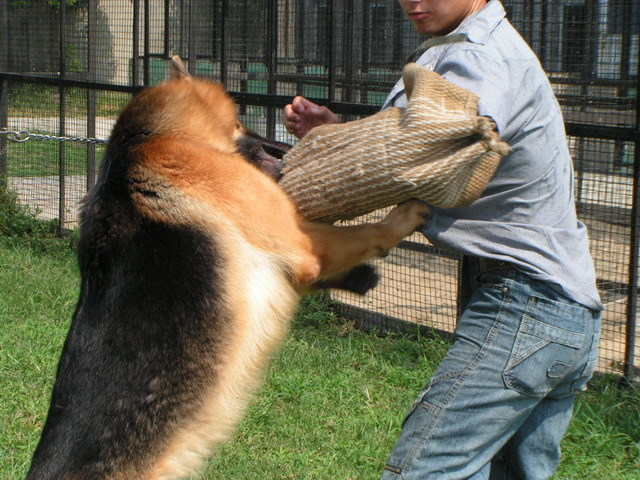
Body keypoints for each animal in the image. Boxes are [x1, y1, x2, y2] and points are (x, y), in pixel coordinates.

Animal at [25, 58, 428, 478]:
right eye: (240, 122)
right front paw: (405, 215)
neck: (152, 139)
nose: (288, 138)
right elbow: (367, 234)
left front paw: (360, 278)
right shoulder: (301, 246)